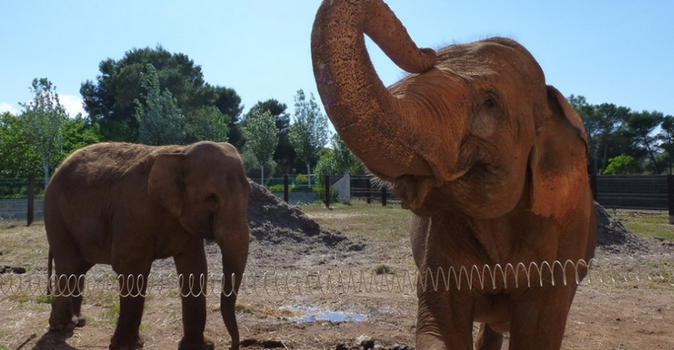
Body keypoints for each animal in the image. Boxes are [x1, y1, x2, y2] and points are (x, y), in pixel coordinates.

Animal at [41, 142, 249, 350]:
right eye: (211, 198)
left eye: (249, 192)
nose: (232, 345)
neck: (181, 151)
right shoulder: (135, 212)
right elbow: (130, 266)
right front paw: (126, 346)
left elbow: (194, 268)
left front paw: (200, 346)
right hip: (55, 214)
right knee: (68, 265)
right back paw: (63, 327)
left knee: (79, 267)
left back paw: (79, 321)